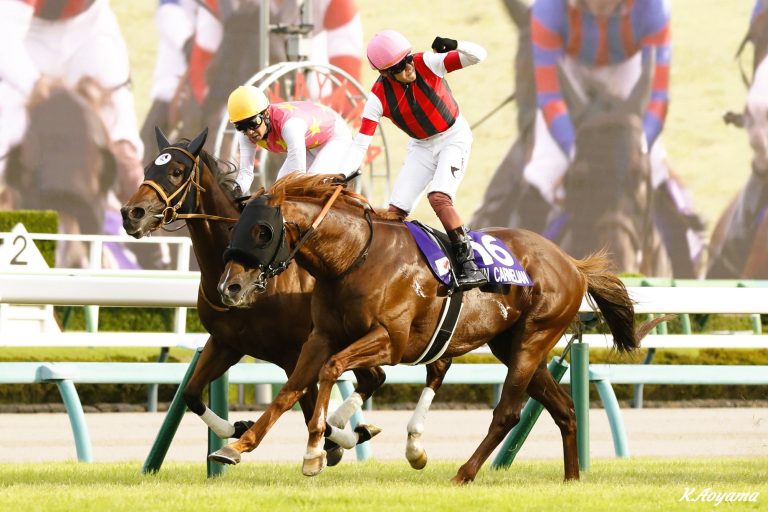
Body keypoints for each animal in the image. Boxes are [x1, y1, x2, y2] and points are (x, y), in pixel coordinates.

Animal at [119, 127, 451, 467]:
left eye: (176, 171)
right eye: (148, 168)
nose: (132, 213)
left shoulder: (294, 351)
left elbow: (303, 403)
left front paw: (326, 446)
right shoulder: (227, 343)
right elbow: (191, 393)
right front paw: (237, 427)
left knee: (373, 377)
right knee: (375, 377)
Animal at [214, 173, 664, 483]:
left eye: (262, 231)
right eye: (234, 229)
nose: (229, 287)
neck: (354, 258)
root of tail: (572, 263)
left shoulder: (390, 341)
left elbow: (331, 371)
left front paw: (316, 449)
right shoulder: (322, 336)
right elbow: (290, 390)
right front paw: (237, 445)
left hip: (534, 338)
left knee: (508, 413)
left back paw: (464, 473)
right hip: (514, 345)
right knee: (565, 409)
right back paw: (572, 478)